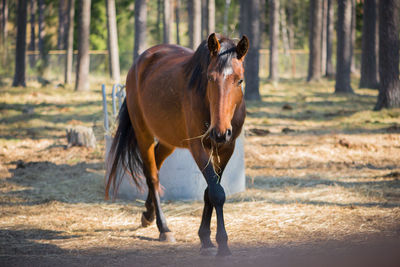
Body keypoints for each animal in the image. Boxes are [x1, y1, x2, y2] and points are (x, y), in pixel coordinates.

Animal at [106, 33, 248, 258]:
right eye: (210, 78)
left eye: (239, 80)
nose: (219, 132)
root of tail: (141, 60)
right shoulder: (198, 148)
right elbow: (217, 193)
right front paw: (222, 243)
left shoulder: (227, 149)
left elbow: (210, 191)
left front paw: (205, 237)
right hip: (143, 132)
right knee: (152, 176)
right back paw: (163, 228)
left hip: (168, 140)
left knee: (155, 164)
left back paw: (148, 215)